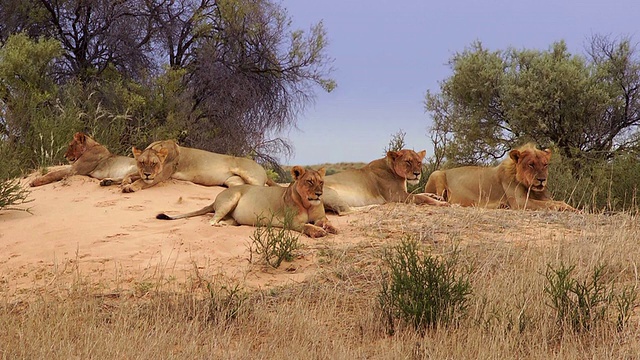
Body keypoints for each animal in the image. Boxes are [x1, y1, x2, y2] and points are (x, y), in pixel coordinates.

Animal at [121, 139, 276, 193]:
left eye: (154, 164)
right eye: (142, 162)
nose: (147, 174)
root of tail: (262, 168)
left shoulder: (159, 177)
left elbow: (141, 181)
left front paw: (130, 187)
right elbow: (131, 174)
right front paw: (124, 181)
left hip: (252, 177)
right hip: (233, 182)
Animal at [157, 166, 338, 239]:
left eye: (321, 182)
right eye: (309, 182)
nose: (319, 194)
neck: (308, 204)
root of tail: (217, 197)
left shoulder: (320, 217)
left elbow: (326, 221)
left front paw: (331, 228)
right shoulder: (291, 222)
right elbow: (307, 226)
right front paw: (318, 232)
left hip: (233, 217)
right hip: (231, 198)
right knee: (211, 221)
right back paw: (219, 225)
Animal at [320, 148, 450, 214]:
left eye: (419, 162)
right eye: (408, 161)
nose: (417, 174)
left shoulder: (403, 192)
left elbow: (421, 193)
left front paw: (436, 196)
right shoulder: (397, 196)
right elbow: (421, 197)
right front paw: (441, 203)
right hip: (332, 194)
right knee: (345, 210)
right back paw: (373, 206)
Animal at [424, 143, 580, 212]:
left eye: (545, 164)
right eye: (531, 164)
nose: (542, 180)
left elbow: (557, 201)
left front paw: (575, 209)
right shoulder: (520, 202)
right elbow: (550, 204)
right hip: (436, 173)